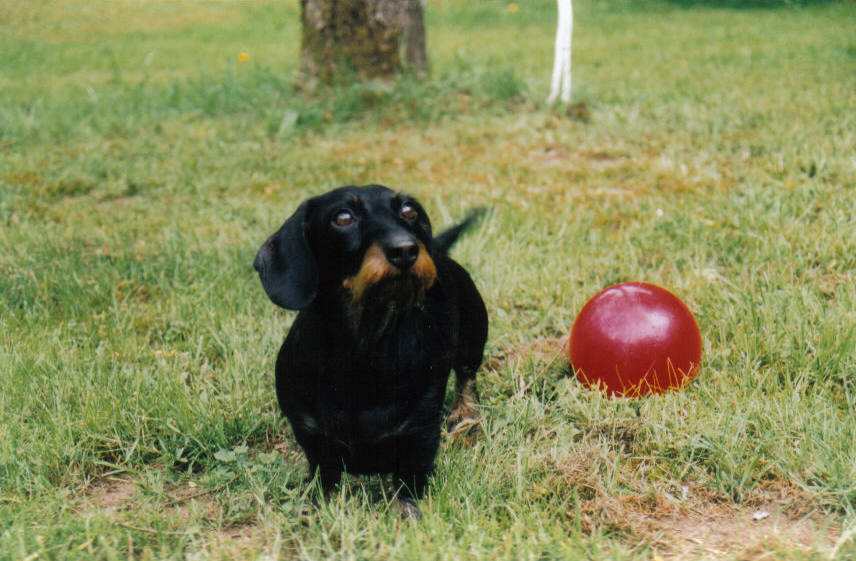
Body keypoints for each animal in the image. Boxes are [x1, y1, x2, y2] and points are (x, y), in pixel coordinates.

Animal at [252, 184, 488, 516]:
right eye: (343, 217)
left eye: (409, 211)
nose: (406, 249)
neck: (362, 359)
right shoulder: (312, 436)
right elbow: (323, 477)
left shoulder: (419, 435)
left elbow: (408, 485)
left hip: (473, 333)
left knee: (467, 375)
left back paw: (466, 415)